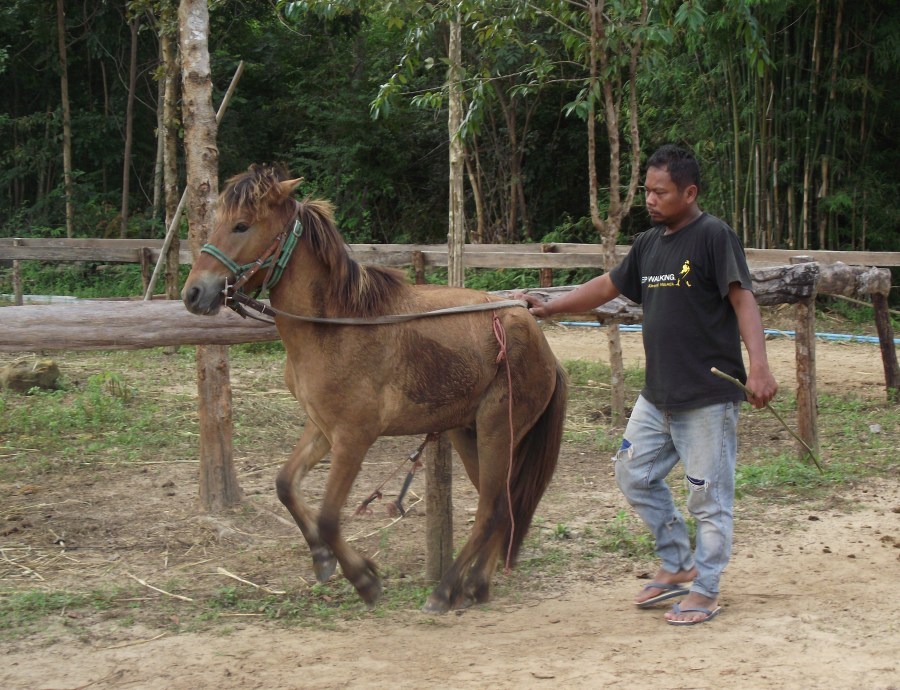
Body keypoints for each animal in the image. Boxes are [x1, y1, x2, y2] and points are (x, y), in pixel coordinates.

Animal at [180, 163, 568, 612]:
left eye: (242, 225)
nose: (194, 293)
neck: (335, 327)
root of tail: (539, 340)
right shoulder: (322, 429)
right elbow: (285, 486)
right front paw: (323, 558)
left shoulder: (354, 437)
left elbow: (329, 518)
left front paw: (363, 578)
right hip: (468, 433)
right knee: (502, 506)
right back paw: (475, 585)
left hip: (496, 431)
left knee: (491, 510)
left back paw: (447, 589)